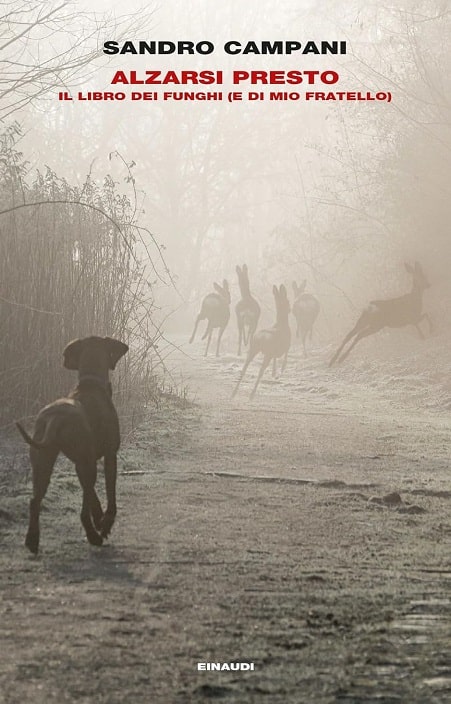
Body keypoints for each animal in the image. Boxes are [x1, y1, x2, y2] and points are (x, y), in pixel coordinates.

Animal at [16, 336, 129, 556]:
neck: (90, 383)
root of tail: (55, 417)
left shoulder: (81, 462)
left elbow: (92, 494)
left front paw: (99, 517)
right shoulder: (109, 455)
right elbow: (109, 495)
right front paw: (105, 523)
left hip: (42, 461)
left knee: (34, 501)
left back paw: (32, 540)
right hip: (81, 462)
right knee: (82, 512)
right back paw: (94, 537)